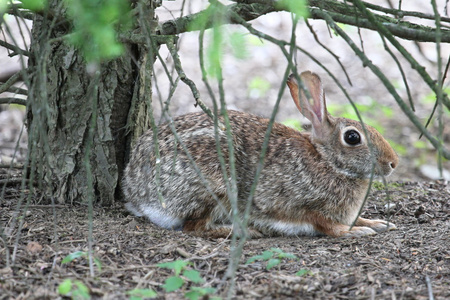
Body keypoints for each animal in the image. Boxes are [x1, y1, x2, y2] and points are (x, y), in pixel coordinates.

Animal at [122, 71, 398, 239]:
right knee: (194, 227)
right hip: (214, 186)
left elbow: (359, 218)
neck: (327, 161)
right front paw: (356, 233)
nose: (393, 163)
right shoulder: (305, 206)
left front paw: (378, 224)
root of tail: (134, 192)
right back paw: (242, 231)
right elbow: (328, 226)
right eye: (352, 137)